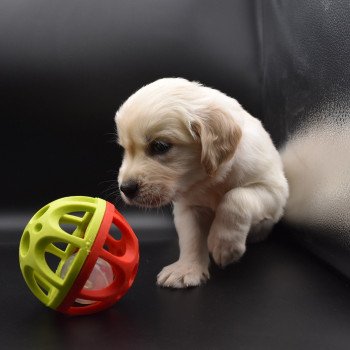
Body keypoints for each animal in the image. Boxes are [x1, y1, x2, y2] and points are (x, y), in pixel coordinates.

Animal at [116, 78, 288, 288]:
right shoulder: (188, 207)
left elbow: (236, 196)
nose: (126, 188)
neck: (210, 180)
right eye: (125, 149)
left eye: (160, 146)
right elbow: (192, 237)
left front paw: (224, 245)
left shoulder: (275, 191)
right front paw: (186, 270)